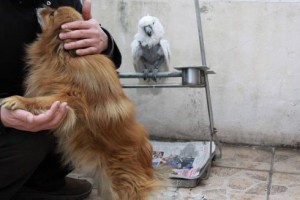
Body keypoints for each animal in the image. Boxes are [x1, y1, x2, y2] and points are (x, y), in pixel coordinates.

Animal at [1, 5, 168, 199]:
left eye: (52, 13)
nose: (42, 6)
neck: (63, 56)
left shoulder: (73, 98)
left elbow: (39, 100)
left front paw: (17, 100)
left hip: (120, 181)